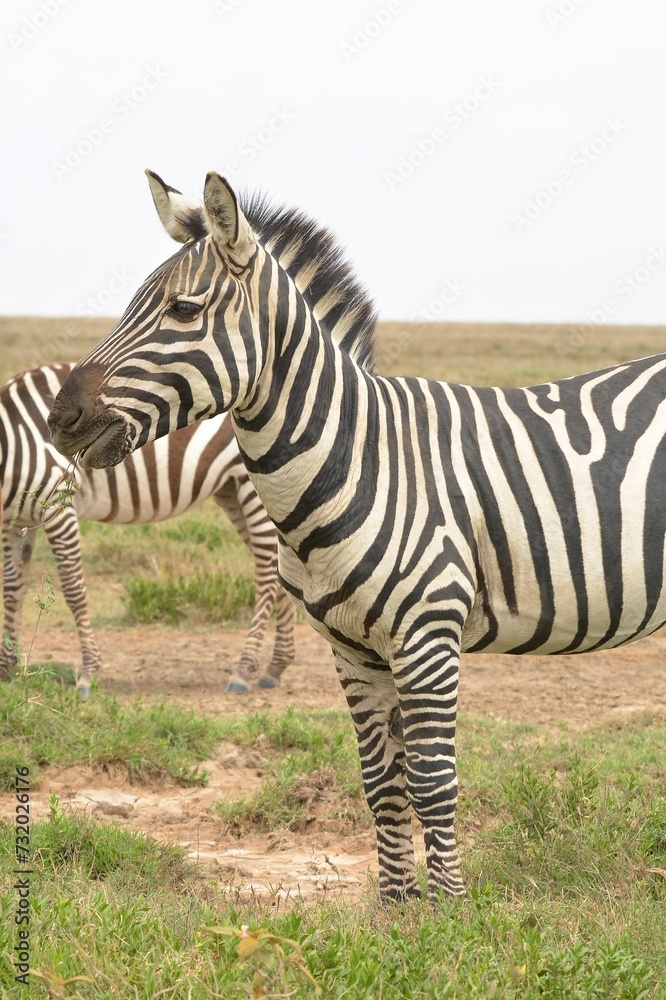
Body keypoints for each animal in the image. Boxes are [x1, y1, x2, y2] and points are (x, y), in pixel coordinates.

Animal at [1, 362, 295, 697]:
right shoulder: (15, 520)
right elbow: (12, 588)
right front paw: (6, 667)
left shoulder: (57, 504)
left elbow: (73, 589)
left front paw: (88, 672)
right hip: (231, 490)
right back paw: (276, 666)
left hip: (251, 485)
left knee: (267, 572)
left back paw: (244, 669)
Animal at [48, 169, 666, 901]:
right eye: (130, 306)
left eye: (184, 310)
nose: (60, 417)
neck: (355, 458)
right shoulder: (352, 647)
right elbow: (382, 785)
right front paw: (397, 910)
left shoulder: (428, 634)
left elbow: (432, 782)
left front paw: (452, 911)